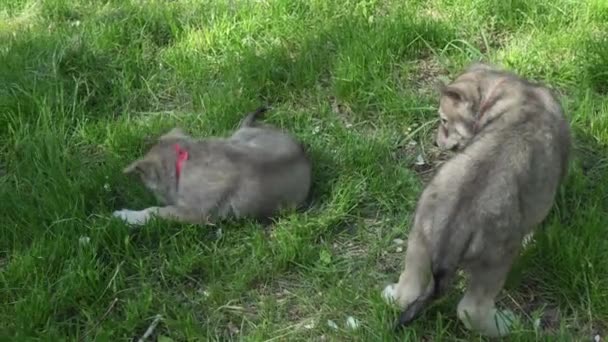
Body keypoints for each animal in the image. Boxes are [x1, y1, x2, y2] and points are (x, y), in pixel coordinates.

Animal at [382, 62, 572, 336]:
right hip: (495, 260)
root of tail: (454, 225)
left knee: (408, 293)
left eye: (444, 120)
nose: (436, 142)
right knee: (471, 310)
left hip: (418, 239)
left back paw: (391, 294)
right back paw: (506, 325)